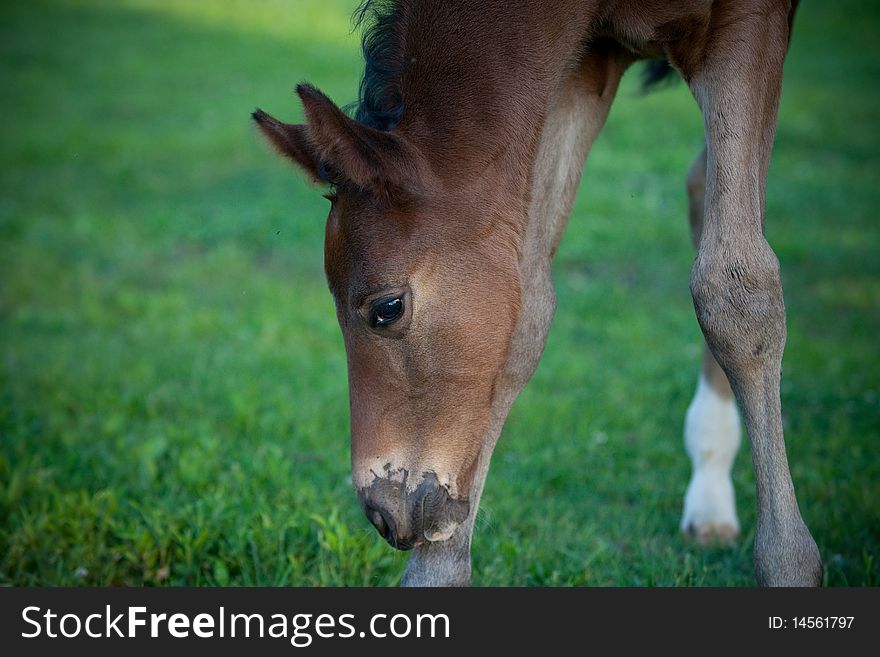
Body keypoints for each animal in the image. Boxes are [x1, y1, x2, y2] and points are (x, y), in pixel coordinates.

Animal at [251, 0, 820, 584]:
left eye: (387, 308)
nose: (384, 514)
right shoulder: (579, 65)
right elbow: (525, 315)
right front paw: (435, 575)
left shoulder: (750, 23)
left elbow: (736, 290)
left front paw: (790, 566)